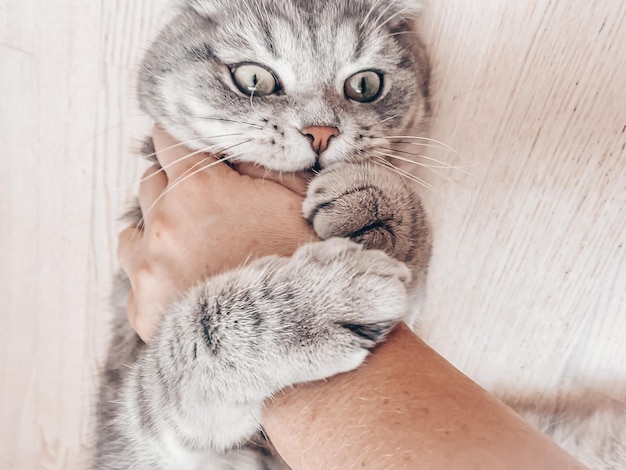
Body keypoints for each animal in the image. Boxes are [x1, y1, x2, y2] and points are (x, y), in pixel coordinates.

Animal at [95, 1, 432, 468]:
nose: (322, 132)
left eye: (365, 85)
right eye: (254, 80)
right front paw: (315, 304)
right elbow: (199, 338)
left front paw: (382, 204)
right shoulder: (138, 430)